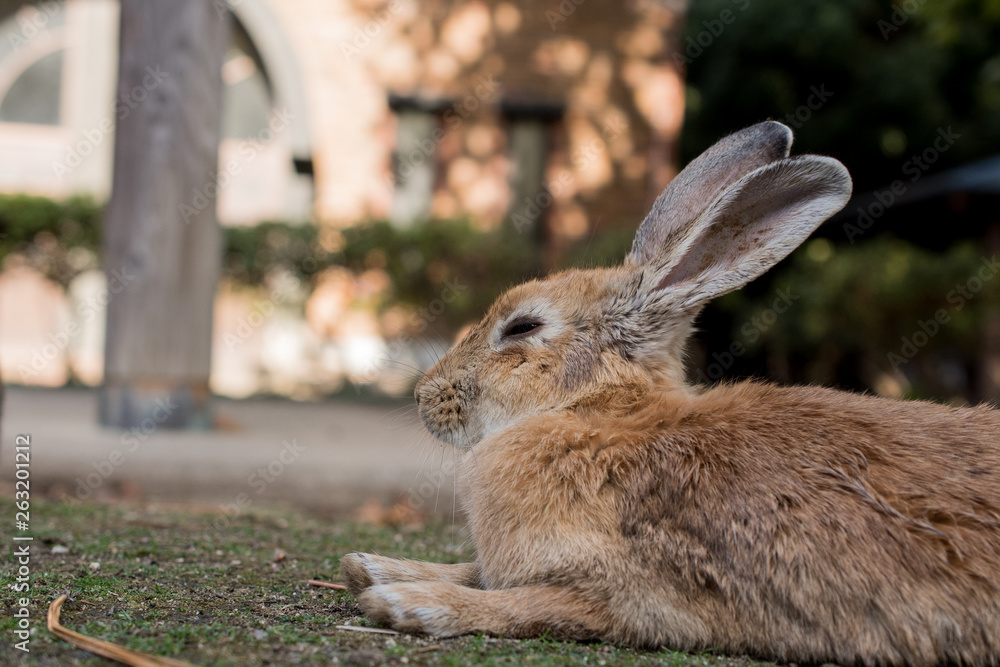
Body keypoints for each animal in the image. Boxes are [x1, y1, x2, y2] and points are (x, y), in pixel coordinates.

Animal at [340, 121, 1000, 666]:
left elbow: (519, 605)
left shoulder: (634, 595)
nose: (425, 395)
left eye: (522, 327)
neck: (599, 417)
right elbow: (474, 569)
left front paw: (405, 602)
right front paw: (370, 566)